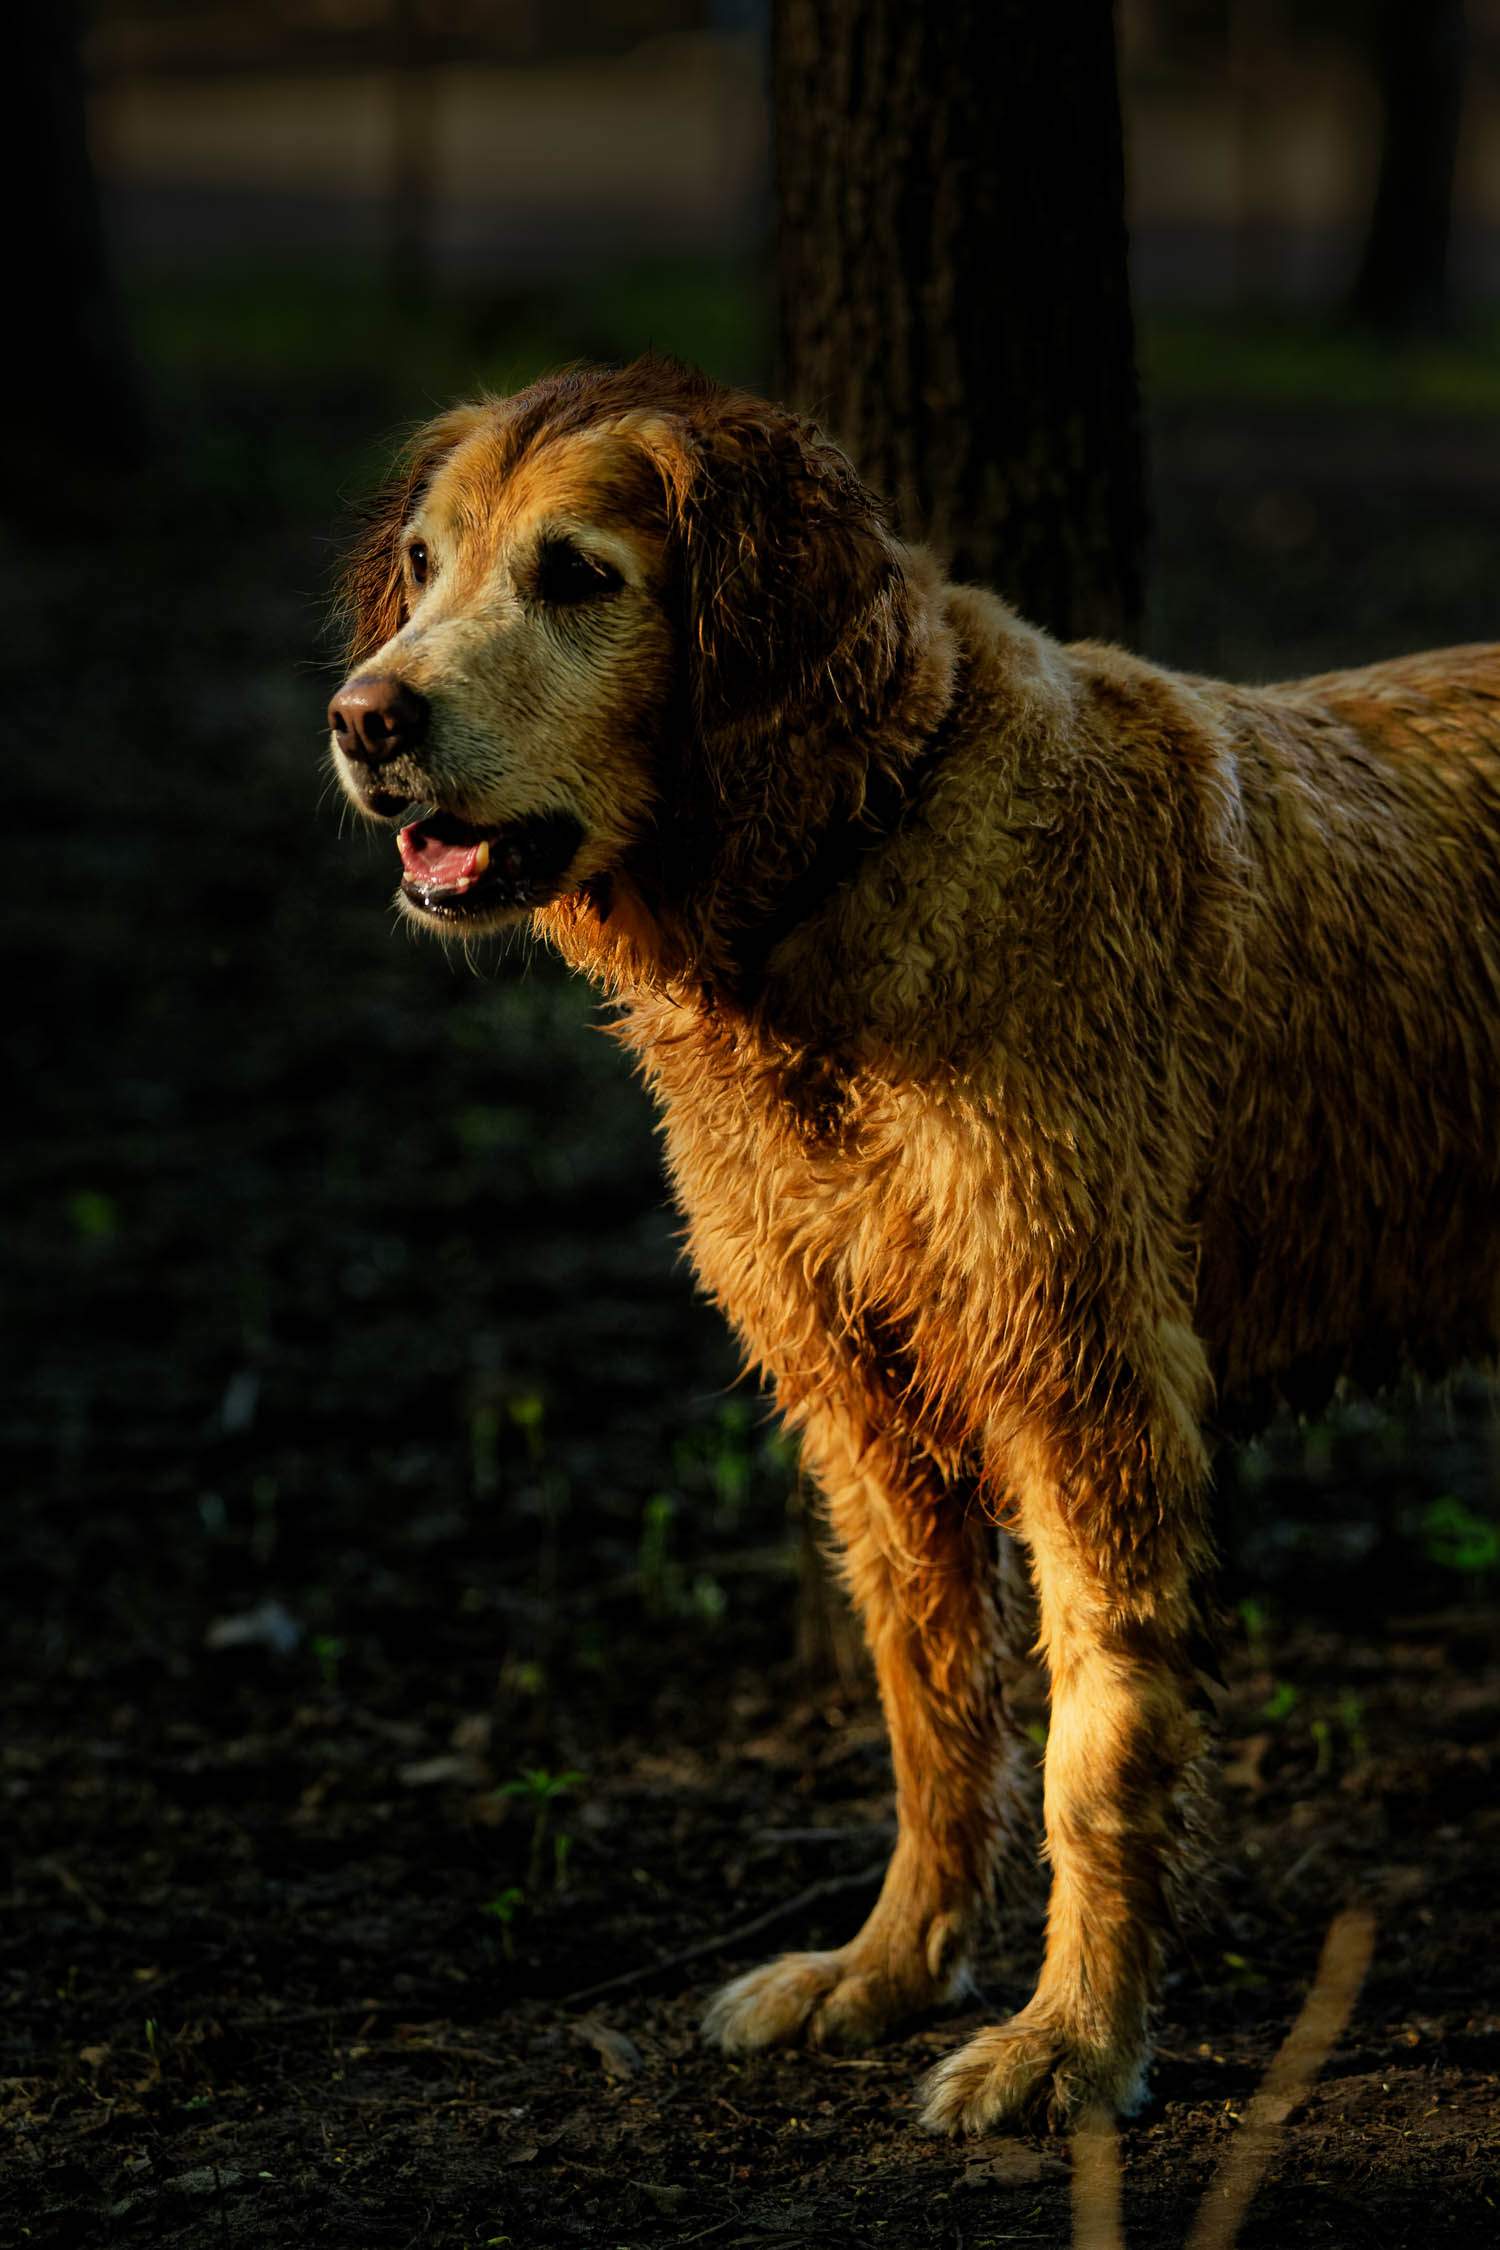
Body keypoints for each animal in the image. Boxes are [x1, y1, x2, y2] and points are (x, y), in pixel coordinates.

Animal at [328, 351, 1500, 2124]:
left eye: (577, 575)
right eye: (422, 563)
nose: (362, 718)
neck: (853, 848)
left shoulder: (1092, 1393)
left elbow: (1095, 1745)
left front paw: (1070, 2038)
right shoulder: (864, 1405)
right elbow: (933, 1712)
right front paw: (887, 1970)